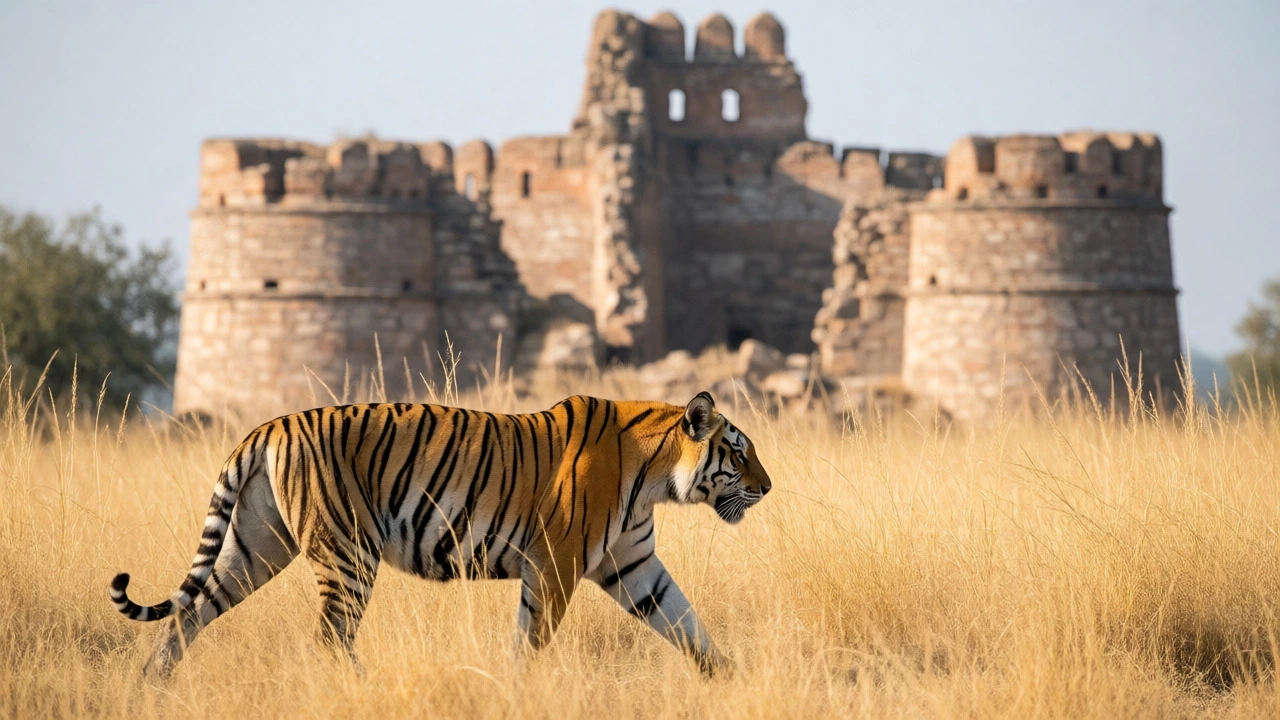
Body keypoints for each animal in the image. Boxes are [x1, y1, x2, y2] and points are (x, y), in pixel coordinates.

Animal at [109, 391, 772, 680]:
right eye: (739, 452)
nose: (768, 488)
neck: (657, 475)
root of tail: (267, 427)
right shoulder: (556, 563)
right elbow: (531, 639)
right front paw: (515, 690)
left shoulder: (632, 565)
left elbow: (686, 623)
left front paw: (729, 680)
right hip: (347, 553)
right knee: (329, 637)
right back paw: (362, 689)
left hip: (254, 548)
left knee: (188, 613)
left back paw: (152, 687)